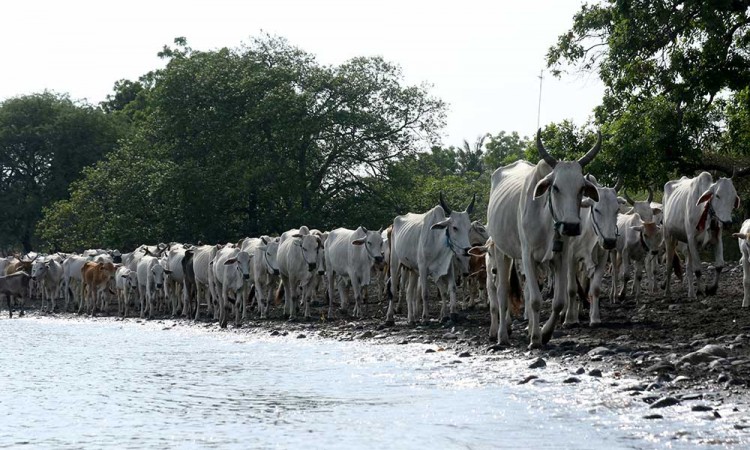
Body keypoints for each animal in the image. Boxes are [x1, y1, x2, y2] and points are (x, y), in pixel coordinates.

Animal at [482, 130, 604, 348]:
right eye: (555, 187)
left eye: (582, 188)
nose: (571, 226)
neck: (547, 219)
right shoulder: (527, 255)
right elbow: (535, 300)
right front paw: (536, 340)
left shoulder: (561, 257)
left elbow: (559, 301)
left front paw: (544, 333)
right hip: (502, 253)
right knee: (503, 294)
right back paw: (502, 336)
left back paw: (531, 328)